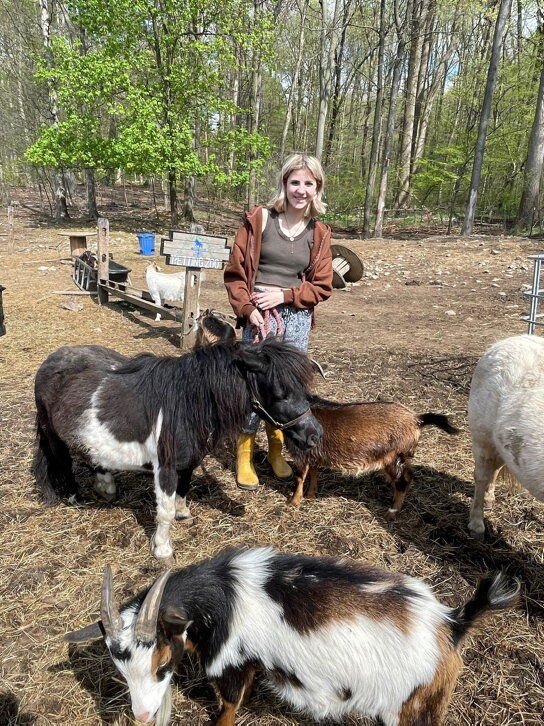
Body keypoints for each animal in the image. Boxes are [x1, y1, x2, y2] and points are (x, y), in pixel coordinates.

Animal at [33, 338, 324, 560]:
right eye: (280, 393)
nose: (315, 435)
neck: (187, 404)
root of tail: (50, 361)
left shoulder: (189, 462)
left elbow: (183, 491)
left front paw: (184, 513)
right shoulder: (166, 467)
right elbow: (165, 511)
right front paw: (162, 549)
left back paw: (106, 486)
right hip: (53, 436)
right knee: (63, 464)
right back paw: (75, 498)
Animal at [65, 548, 520, 724]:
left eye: (162, 664)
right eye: (120, 670)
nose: (142, 716)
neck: (225, 595)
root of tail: (452, 623)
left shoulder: (232, 665)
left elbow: (229, 706)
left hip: (411, 706)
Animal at [286, 404, 456, 516]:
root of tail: (417, 419)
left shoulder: (301, 455)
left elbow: (299, 477)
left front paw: (293, 502)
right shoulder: (313, 456)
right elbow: (313, 473)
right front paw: (310, 495)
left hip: (394, 457)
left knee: (403, 480)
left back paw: (391, 512)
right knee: (408, 476)